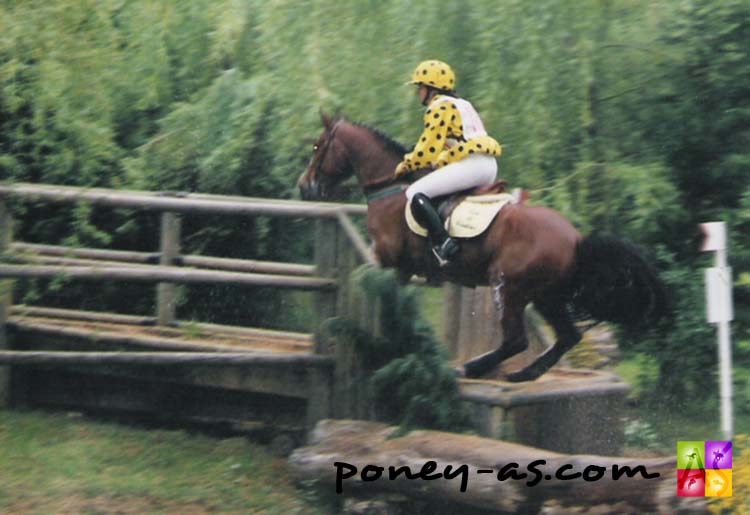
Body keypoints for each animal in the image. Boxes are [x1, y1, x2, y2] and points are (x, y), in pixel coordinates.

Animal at [296, 113, 672, 380]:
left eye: (316, 147)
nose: (305, 186)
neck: (390, 186)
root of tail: (576, 239)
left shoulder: (389, 261)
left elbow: (379, 294)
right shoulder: (399, 267)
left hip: (509, 287)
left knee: (517, 340)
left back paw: (471, 368)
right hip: (546, 295)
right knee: (567, 337)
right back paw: (524, 374)